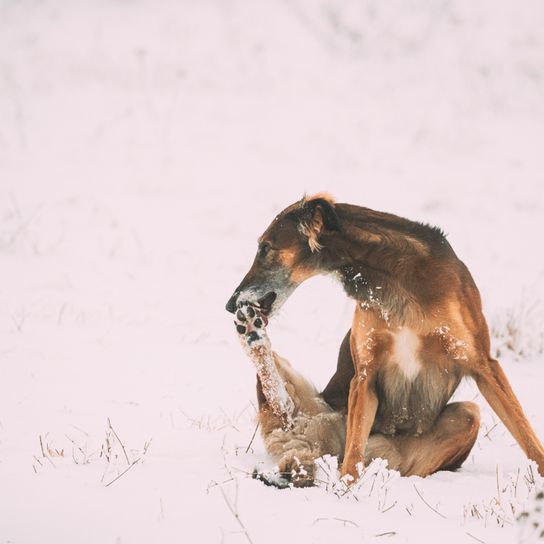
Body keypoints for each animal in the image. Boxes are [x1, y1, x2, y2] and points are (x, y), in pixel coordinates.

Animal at [225, 194, 544, 484]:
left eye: (265, 248)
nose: (229, 304)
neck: (393, 277)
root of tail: (320, 447)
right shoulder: (365, 374)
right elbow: (352, 455)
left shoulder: (483, 364)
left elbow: (525, 432)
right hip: (309, 408)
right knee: (283, 404)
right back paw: (252, 333)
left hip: (462, 420)